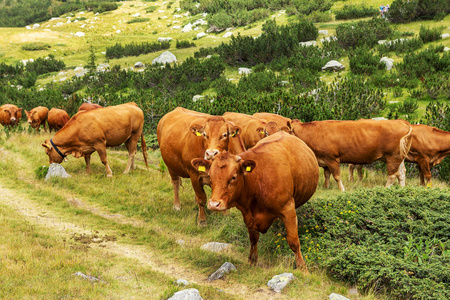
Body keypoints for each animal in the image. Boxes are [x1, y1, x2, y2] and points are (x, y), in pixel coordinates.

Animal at [192, 132, 318, 270]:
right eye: (210, 176)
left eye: (233, 177)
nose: (214, 204)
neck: (258, 180)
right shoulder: (248, 214)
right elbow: (253, 238)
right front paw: (252, 260)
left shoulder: (288, 209)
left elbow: (293, 241)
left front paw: (302, 267)